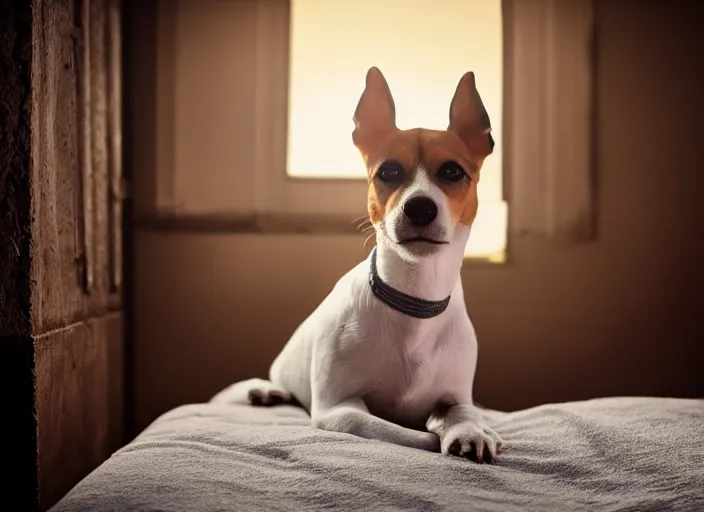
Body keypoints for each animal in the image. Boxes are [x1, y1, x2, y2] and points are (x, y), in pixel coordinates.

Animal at [214, 66, 500, 462]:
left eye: (453, 172)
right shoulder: (339, 408)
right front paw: (441, 435)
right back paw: (268, 391)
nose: (420, 207)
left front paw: (472, 430)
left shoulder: (454, 397)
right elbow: (397, 431)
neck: (414, 300)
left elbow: (463, 411)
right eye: (389, 172)